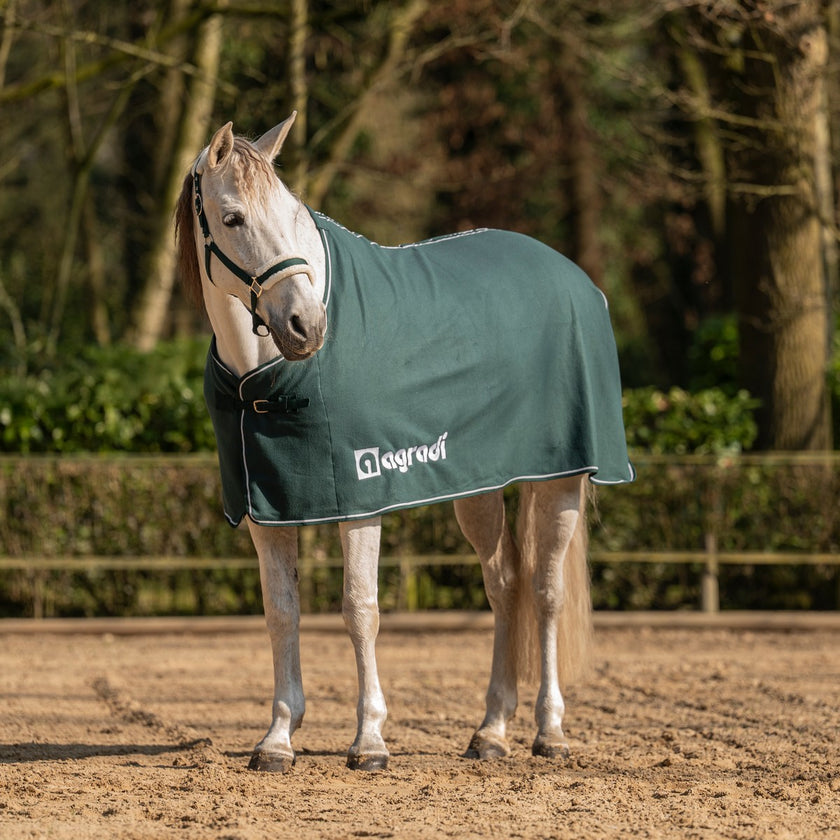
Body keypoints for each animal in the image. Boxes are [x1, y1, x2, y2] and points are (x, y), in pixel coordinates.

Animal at [174, 113, 634, 772]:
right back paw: (491, 732)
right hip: (479, 489)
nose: (307, 327)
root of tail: (575, 279)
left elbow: (359, 610)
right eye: (232, 218)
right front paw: (278, 738)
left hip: (562, 481)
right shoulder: (267, 511)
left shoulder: (360, 498)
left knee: (546, 593)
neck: (262, 378)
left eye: (292, 213)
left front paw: (369, 740)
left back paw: (550, 732)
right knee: (505, 586)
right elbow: (281, 613)